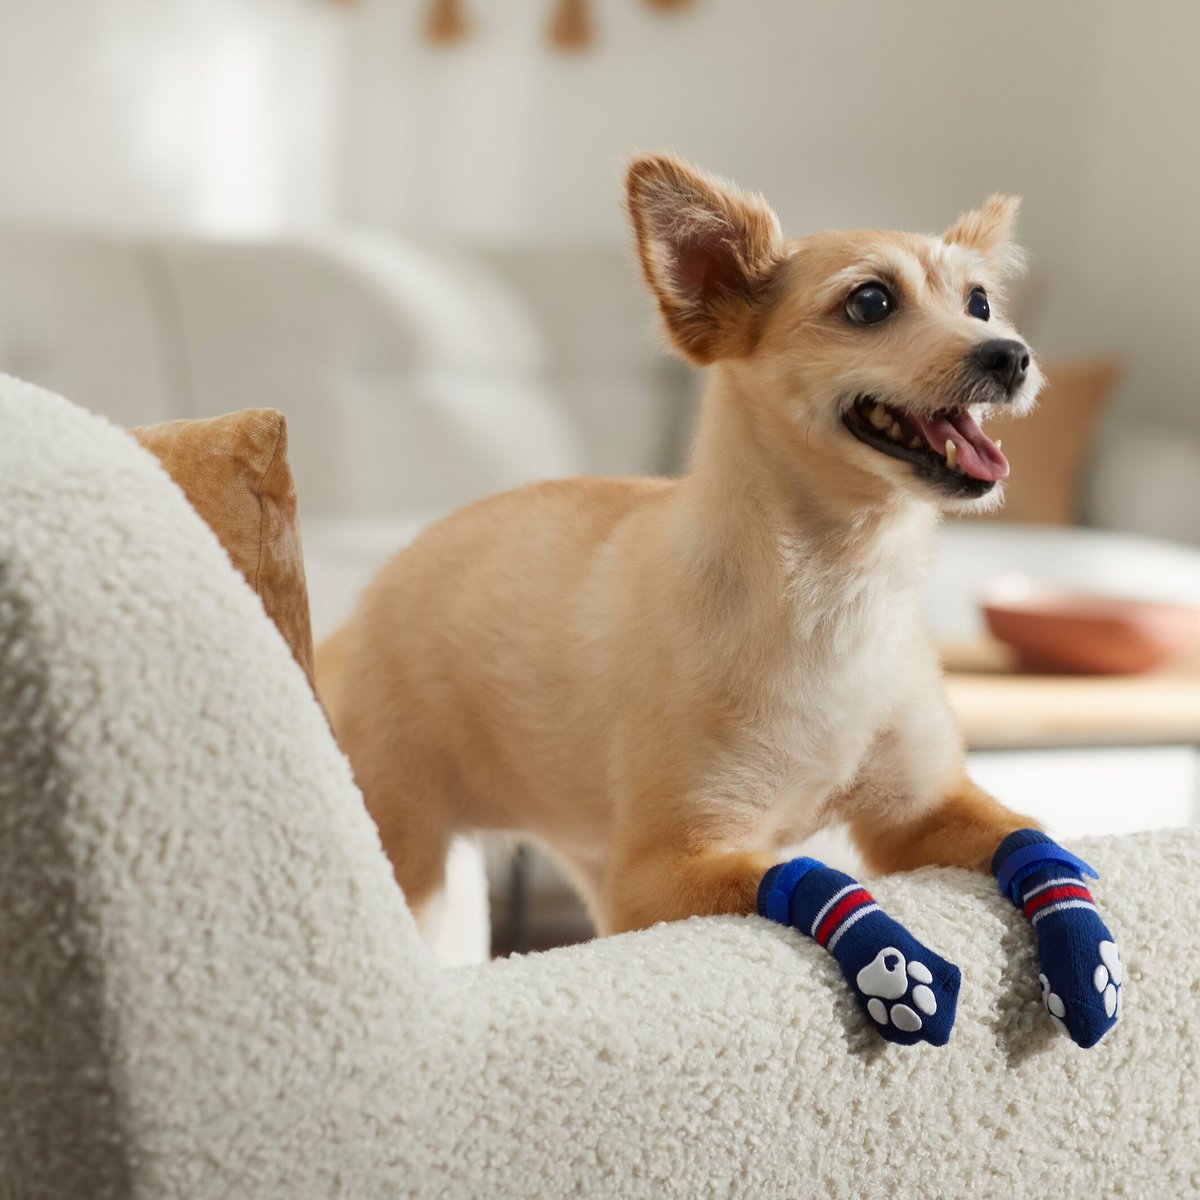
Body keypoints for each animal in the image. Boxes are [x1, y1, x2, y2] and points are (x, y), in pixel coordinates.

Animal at [316, 152, 1041, 936]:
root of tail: (353, 619)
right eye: (870, 303)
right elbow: (817, 880)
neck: (842, 581)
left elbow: (1029, 836)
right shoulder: (665, 872)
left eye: (979, 303)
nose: (1012, 356)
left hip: (590, 859)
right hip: (414, 852)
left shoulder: (923, 813)